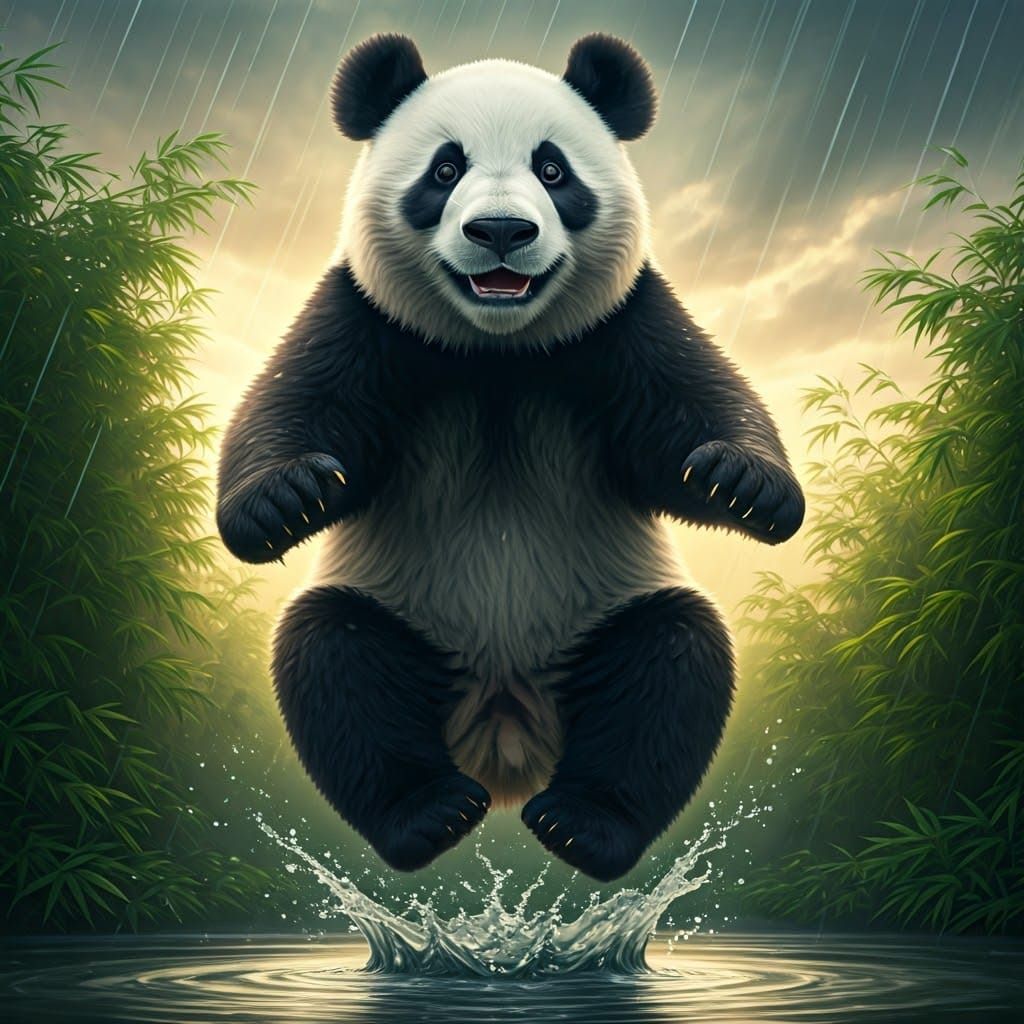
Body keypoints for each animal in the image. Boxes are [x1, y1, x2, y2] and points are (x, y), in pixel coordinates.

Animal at [216, 33, 804, 882]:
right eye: (444, 170)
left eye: (553, 170)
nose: (500, 231)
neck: (498, 353)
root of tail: (505, 741)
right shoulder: (366, 317)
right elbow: (290, 407)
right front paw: (286, 498)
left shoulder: (621, 322)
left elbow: (696, 404)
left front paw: (740, 481)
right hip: (404, 615)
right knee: (335, 655)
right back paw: (428, 814)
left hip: (603, 616)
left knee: (671, 659)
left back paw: (584, 825)